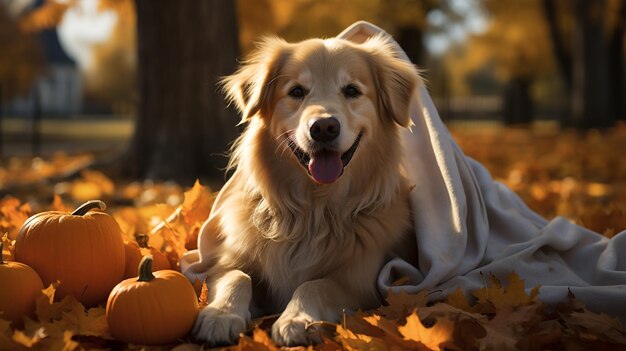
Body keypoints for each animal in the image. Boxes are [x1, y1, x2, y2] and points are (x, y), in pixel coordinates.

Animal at [191, 33, 420, 346]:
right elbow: (237, 277)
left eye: (351, 90)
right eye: (297, 91)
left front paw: (297, 320)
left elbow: (315, 285)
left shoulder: (361, 280)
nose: (323, 127)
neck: (314, 209)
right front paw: (220, 315)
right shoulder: (224, 263)